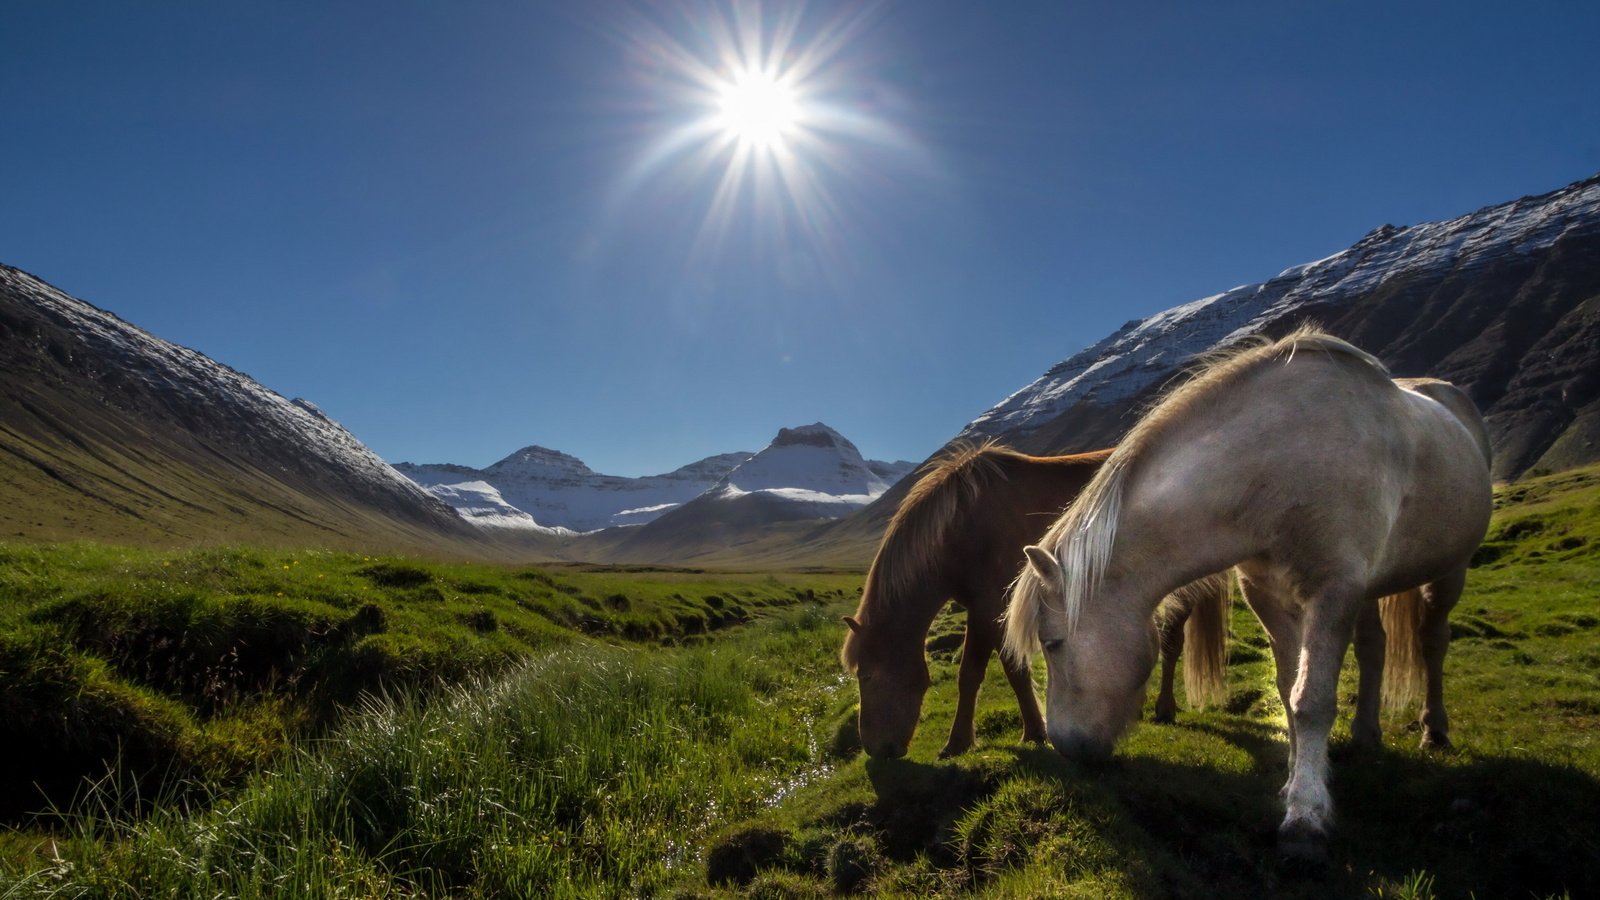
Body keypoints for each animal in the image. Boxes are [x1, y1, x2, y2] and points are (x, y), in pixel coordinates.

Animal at [832, 441, 1228, 755]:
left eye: (867, 676)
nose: (874, 749)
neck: (962, 526)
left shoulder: (987, 609)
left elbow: (974, 674)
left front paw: (960, 742)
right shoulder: (990, 611)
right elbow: (1011, 670)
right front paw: (1033, 731)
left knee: (1172, 642)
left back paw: (1165, 706)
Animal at [1004, 328, 1491, 851]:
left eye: (1053, 643)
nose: (1065, 744)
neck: (1277, 463)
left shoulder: (1334, 589)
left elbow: (1311, 701)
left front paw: (1306, 817)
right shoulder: (1268, 594)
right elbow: (1287, 688)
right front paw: (1295, 781)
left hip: (1448, 572)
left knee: (1433, 642)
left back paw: (1434, 731)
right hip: (1369, 590)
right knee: (1374, 648)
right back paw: (1366, 734)